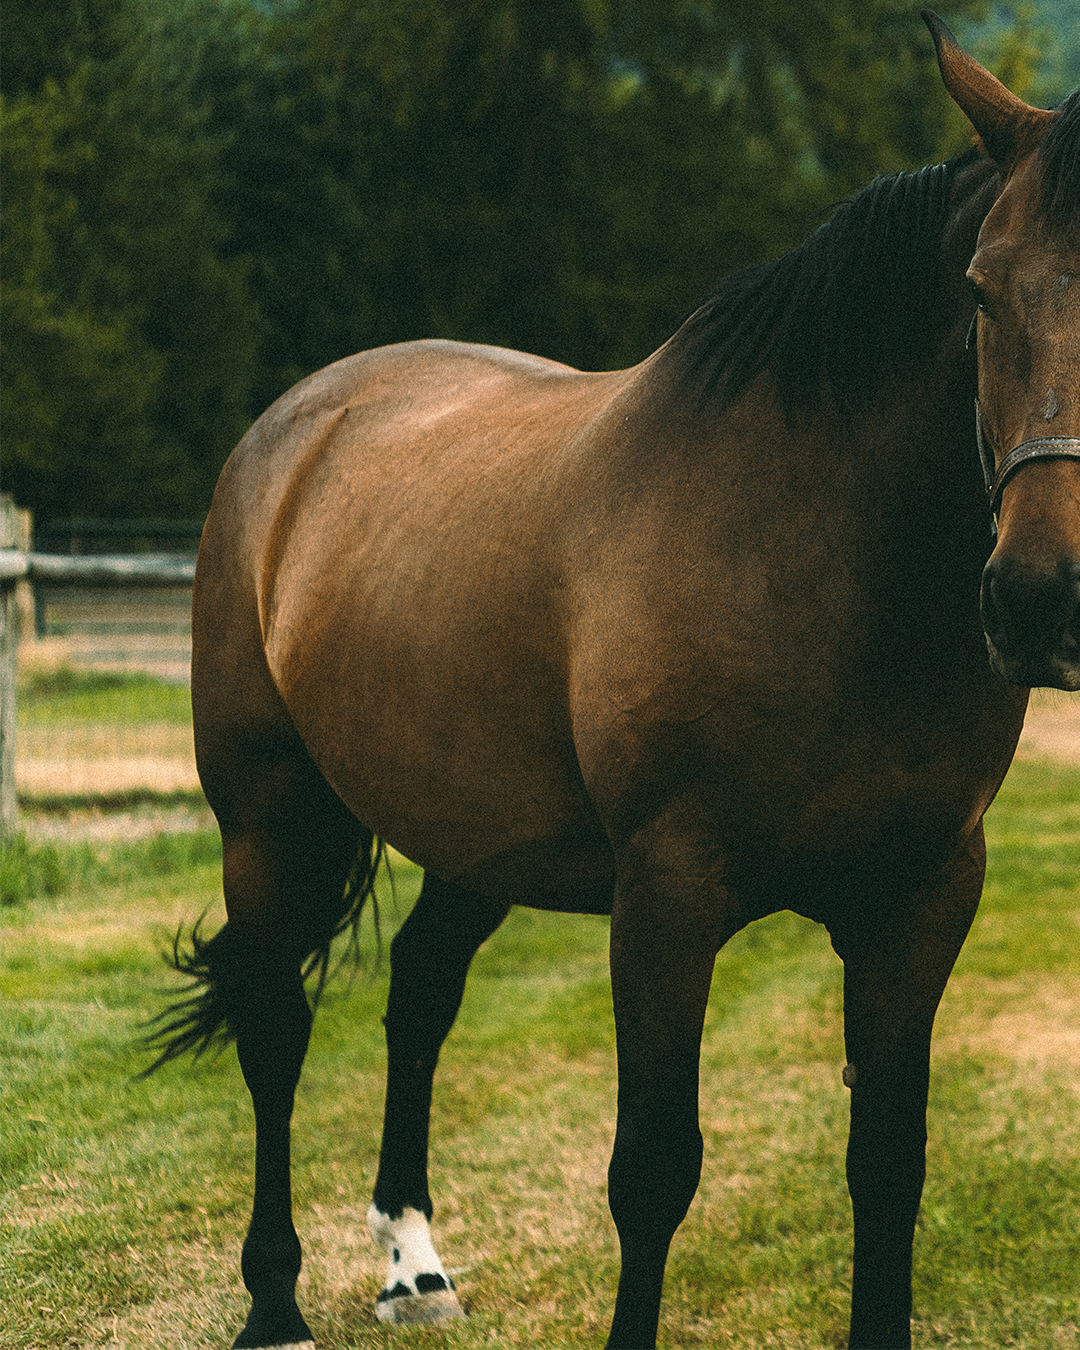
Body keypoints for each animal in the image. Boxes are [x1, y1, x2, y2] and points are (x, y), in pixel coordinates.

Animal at [146, 13, 1080, 1348]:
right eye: (979, 290)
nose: (1042, 598)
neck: (818, 555)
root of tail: (299, 427)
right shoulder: (668, 898)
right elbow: (653, 1171)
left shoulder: (922, 897)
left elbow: (887, 1163)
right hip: (268, 818)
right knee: (277, 1028)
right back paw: (273, 1302)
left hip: (475, 835)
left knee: (418, 996)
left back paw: (412, 1263)